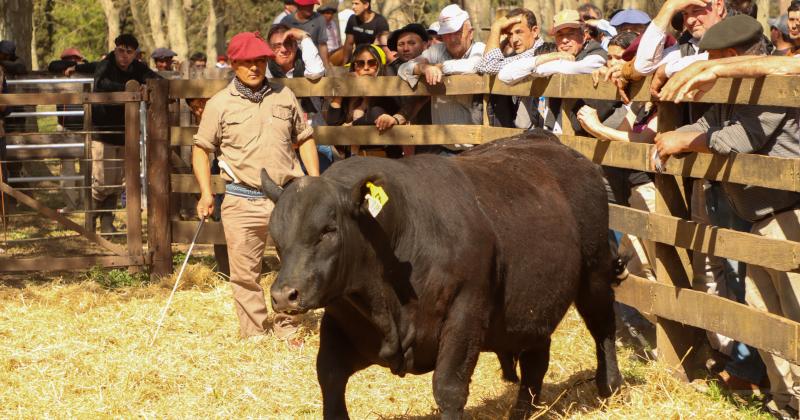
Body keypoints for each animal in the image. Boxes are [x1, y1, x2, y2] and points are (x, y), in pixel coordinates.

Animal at [260, 130, 620, 416]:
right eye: (275, 235)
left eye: (328, 230)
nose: (284, 295)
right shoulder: (340, 323)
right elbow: (330, 378)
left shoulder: (465, 313)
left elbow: (449, 390)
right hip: (534, 304)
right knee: (536, 359)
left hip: (595, 272)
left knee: (603, 326)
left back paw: (610, 385)